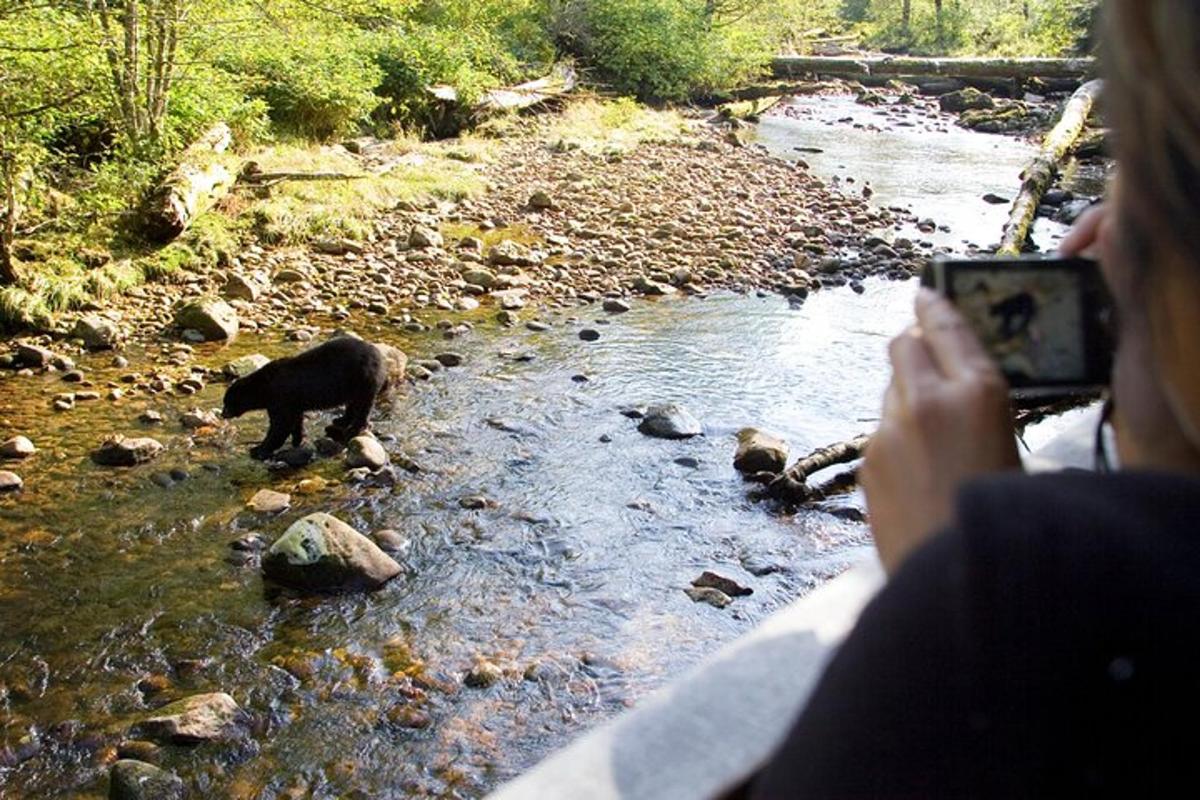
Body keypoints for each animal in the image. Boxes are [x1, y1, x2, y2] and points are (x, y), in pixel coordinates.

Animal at [225, 338, 388, 462]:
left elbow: (281, 425)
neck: (265, 388)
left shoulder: (280, 398)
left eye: (227, 402)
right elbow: (295, 420)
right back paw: (341, 420)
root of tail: (379, 356)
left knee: (363, 405)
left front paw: (258, 449)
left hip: (364, 378)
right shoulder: (292, 402)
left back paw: (355, 427)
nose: (223, 414)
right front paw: (298, 440)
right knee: (353, 403)